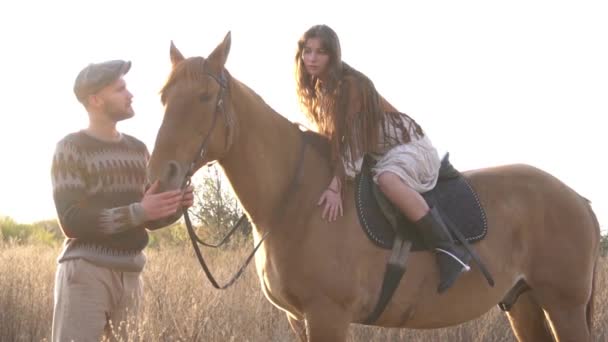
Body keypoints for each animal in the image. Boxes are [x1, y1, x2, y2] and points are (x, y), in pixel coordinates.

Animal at [147, 32, 600, 342]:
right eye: (163, 96)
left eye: (205, 97)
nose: (158, 183)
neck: (294, 201)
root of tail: (579, 199)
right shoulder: (298, 319)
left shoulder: (327, 316)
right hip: (524, 303)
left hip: (564, 305)